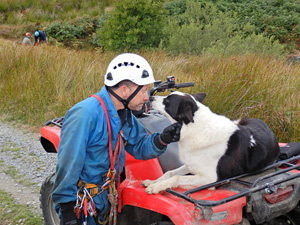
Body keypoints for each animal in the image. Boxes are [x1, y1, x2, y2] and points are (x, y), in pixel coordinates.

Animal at [142, 91, 278, 193]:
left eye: (167, 101)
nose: (150, 97)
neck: (194, 127)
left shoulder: (210, 178)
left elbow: (177, 177)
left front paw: (156, 186)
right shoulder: (190, 165)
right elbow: (170, 172)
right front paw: (154, 181)